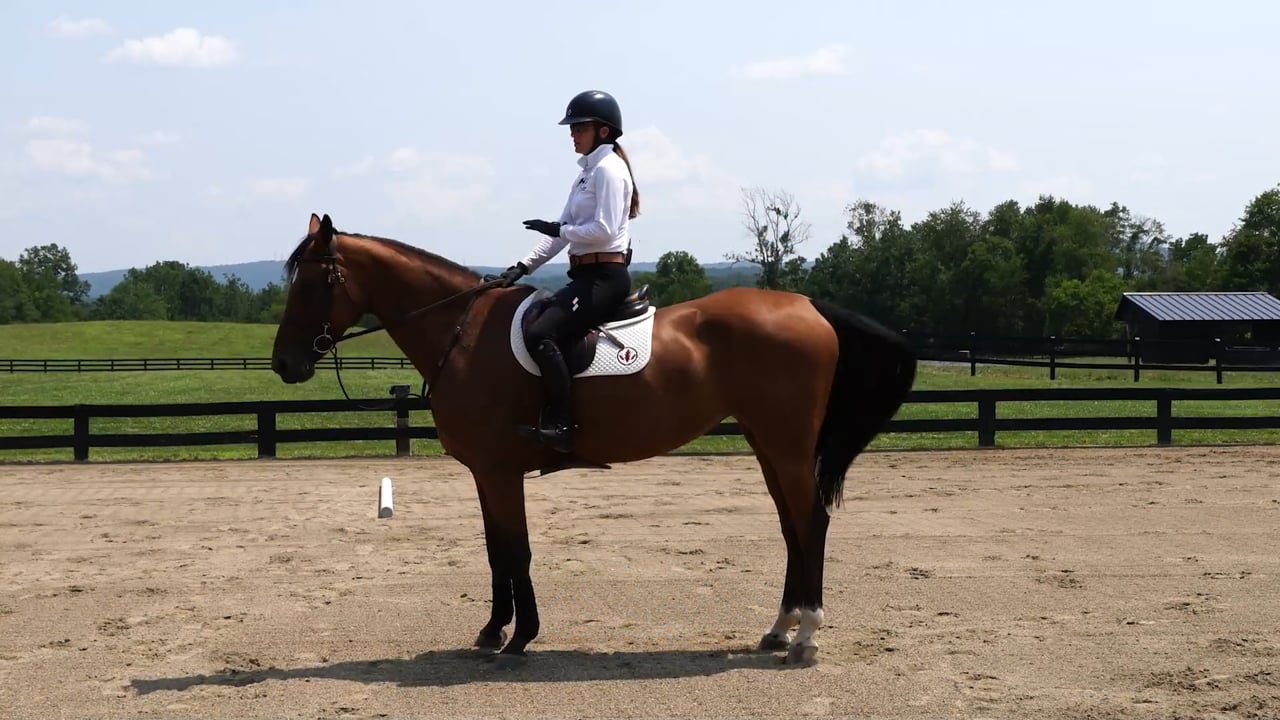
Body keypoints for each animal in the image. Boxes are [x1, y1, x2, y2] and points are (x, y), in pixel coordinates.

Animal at [271, 213, 917, 668]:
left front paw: (518, 638)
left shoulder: (499, 471)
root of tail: (808, 305)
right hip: (767, 442)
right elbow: (496, 550)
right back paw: (780, 629)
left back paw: (807, 635)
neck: (463, 333)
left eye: (313, 283)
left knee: (811, 522)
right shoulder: (486, 472)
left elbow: (516, 551)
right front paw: (493, 631)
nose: (284, 365)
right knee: (792, 526)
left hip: (785, 444)